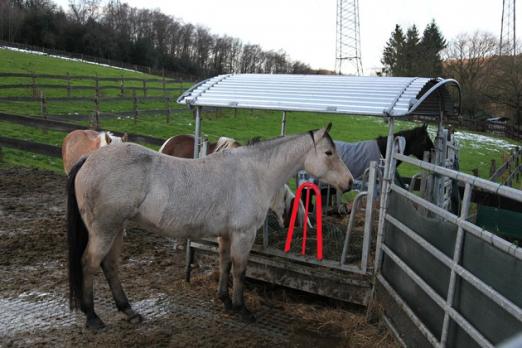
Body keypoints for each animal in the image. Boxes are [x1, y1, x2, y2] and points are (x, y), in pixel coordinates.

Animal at [65, 123, 350, 330]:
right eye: (329, 153)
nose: (349, 183)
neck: (254, 172)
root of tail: (89, 158)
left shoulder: (226, 235)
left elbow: (224, 263)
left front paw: (225, 300)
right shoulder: (244, 235)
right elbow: (240, 270)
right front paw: (242, 308)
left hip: (117, 229)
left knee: (110, 265)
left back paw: (128, 310)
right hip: (105, 230)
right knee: (90, 264)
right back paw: (93, 317)